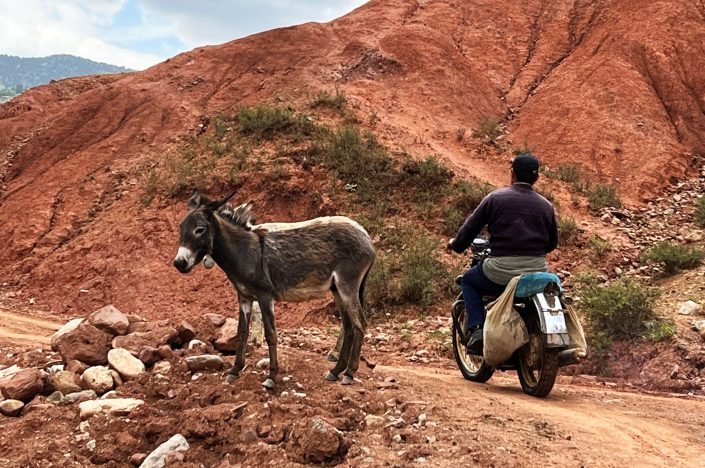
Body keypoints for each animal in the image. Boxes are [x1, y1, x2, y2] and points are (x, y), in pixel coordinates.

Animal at [173, 191, 376, 387]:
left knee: (360, 324)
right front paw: (235, 371)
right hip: (337, 289)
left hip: (347, 286)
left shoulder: (265, 296)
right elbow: (242, 333)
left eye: (200, 230)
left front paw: (271, 376)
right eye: (181, 228)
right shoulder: (244, 297)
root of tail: (366, 237)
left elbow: (271, 335)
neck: (244, 251)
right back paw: (335, 371)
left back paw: (349, 373)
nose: (179, 263)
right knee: (348, 326)